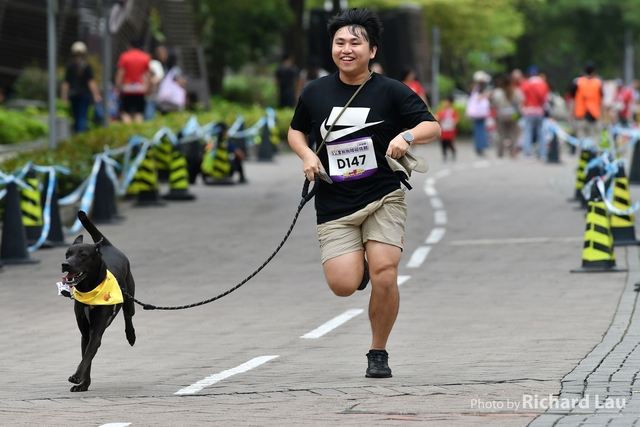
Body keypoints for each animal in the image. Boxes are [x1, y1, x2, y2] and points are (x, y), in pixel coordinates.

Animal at [60, 210, 136, 392]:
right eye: (67, 254)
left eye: (82, 255)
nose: (65, 264)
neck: (89, 291)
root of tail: (107, 245)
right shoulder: (85, 333)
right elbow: (87, 358)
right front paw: (83, 384)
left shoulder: (96, 332)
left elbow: (88, 355)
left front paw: (76, 376)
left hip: (129, 297)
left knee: (128, 315)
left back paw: (130, 335)